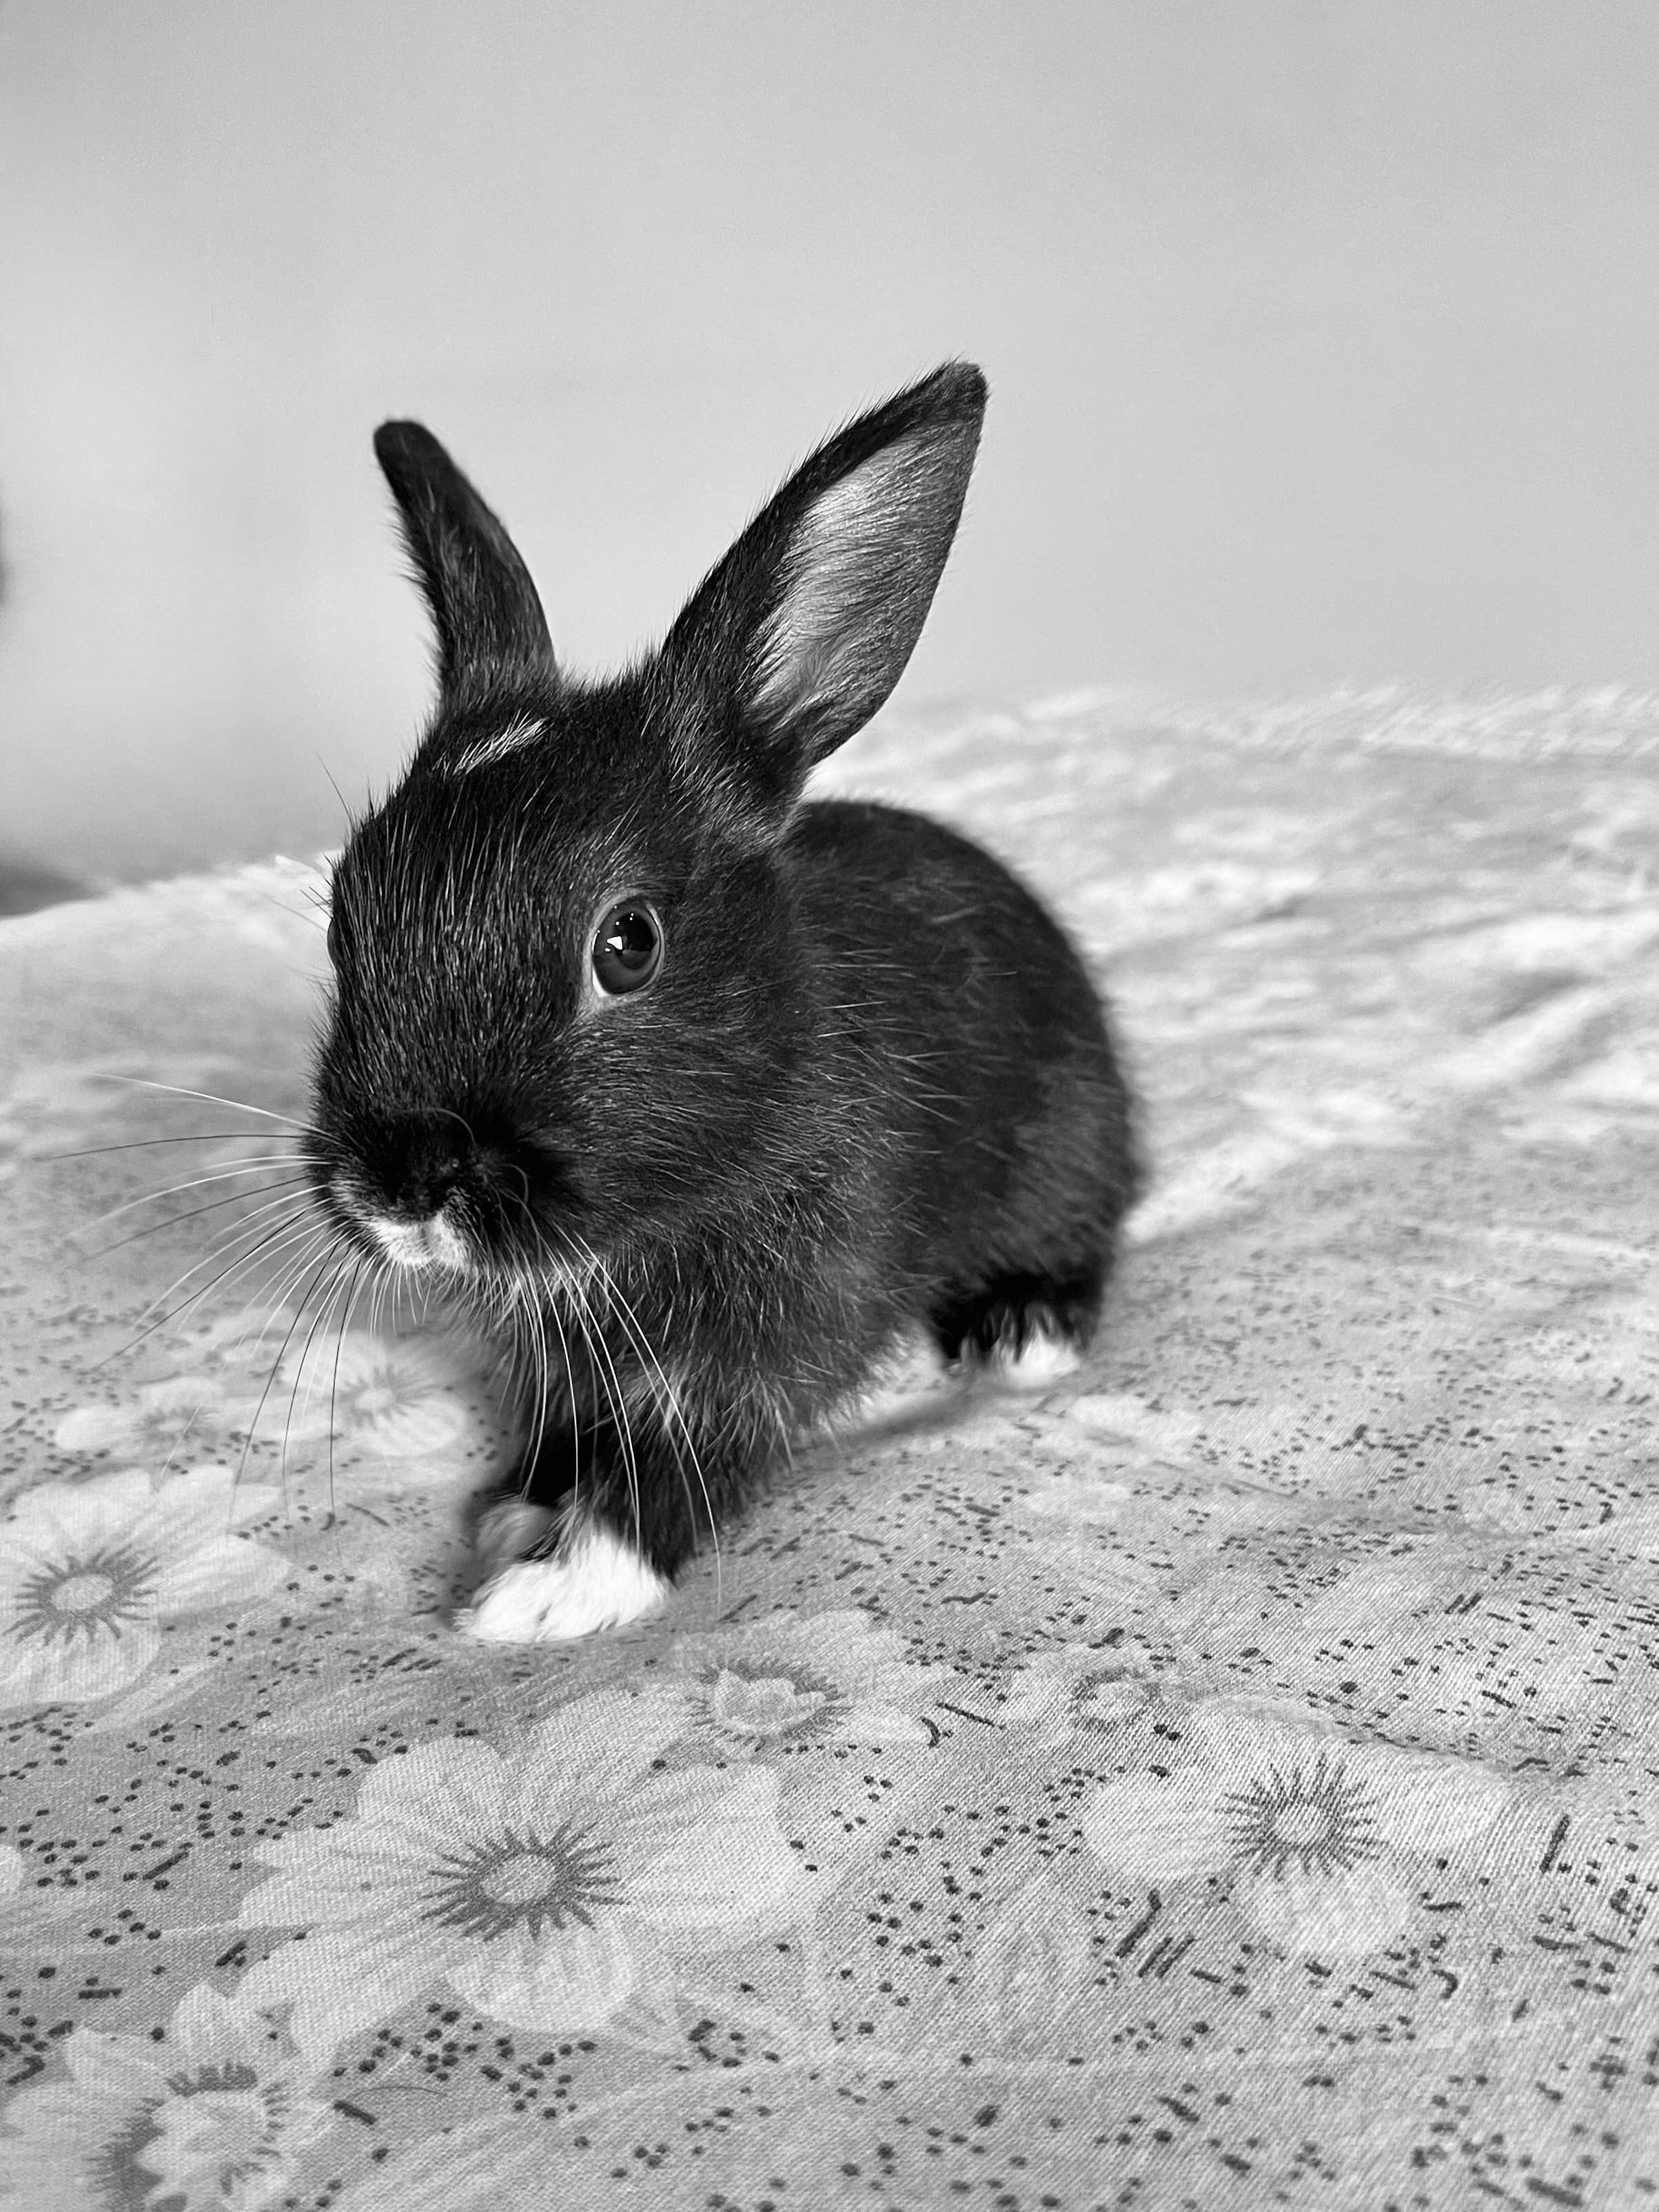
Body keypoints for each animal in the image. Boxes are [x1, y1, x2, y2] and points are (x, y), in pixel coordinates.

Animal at [309, 362, 1138, 1641]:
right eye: (343, 915)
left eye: (627, 943)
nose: (400, 1189)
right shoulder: (563, 1360)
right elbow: (565, 1435)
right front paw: (516, 1510)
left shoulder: (759, 1352)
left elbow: (676, 1466)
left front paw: (548, 1593)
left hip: (1065, 1146)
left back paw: (1021, 1333)